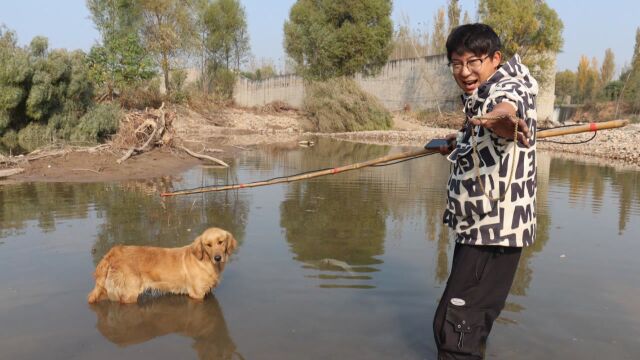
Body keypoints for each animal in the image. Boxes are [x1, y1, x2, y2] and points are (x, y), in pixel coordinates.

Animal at [87, 228, 238, 304]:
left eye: (221, 242)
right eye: (208, 245)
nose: (217, 258)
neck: (205, 262)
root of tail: (112, 252)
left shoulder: (208, 292)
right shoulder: (197, 294)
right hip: (129, 293)